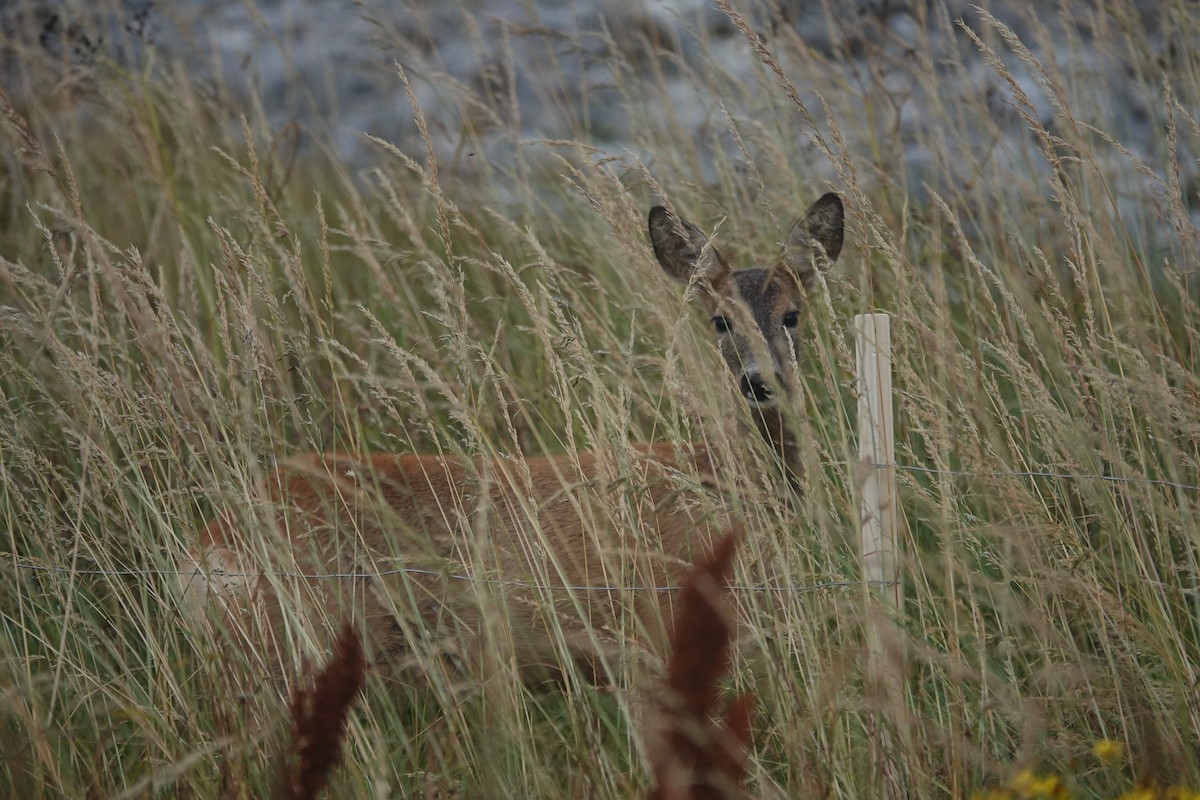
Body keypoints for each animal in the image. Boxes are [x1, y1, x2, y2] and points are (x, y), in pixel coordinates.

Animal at [179, 193, 845, 692]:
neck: (729, 481)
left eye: (792, 315)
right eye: (720, 321)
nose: (760, 382)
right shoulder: (663, 622)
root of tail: (209, 549)